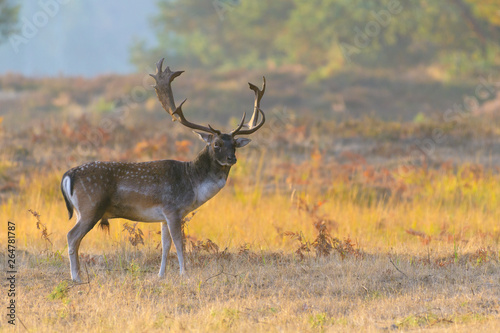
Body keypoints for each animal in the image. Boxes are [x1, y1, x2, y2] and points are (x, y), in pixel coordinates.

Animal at [61, 58, 266, 282]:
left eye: (235, 144)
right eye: (216, 144)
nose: (232, 158)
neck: (193, 184)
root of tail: (68, 175)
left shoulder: (164, 216)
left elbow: (166, 245)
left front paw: (161, 275)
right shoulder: (173, 209)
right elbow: (179, 243)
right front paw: (185, 273)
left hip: (81, 211)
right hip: (91, 207)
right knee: (71, 236)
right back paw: (76, 277)